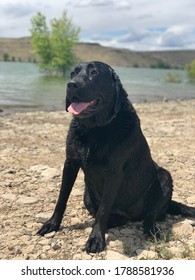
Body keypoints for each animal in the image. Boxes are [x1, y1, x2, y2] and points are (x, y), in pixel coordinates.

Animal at [37, 61, 194, 254]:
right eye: (73, 73)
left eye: (94, 72)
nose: (71, 85)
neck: (95, 129)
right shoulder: (70, 163)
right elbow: (62, 198)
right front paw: (52, 224)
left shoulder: (114, 173)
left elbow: (103, 209)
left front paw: (96, 238)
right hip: (87, 195)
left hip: (164, 177)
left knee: (150, 215)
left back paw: (150, 230)